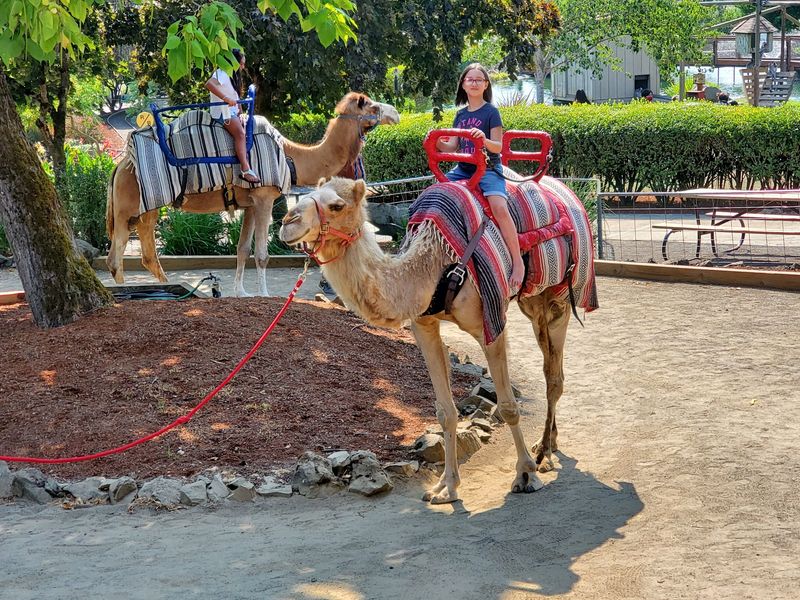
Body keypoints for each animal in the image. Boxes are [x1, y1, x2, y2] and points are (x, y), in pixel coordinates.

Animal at [106, 93, 400, 296]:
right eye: (371, 106)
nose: (396, 113)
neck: (291, 157)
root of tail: (121, 165)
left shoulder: (248, 203)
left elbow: (242, 249)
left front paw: (242, 292)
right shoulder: (264, 198)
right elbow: (261, 254)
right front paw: (265, 294)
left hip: (147, 210)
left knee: (145, 254)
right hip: (127, 206)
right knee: (116, 256)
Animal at [280, 176, 587, 504]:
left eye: (336, 206)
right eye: (308, 195)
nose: (287, 222)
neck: (433, 262)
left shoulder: (491, 322)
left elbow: (507, 405)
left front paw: (525, 475)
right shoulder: (423, 325)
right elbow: (445, 411)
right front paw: (446, 487)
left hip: (559, 294)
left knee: (554, 375)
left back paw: (543, 454)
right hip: (533, 302)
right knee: (549, 365)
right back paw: (548, 445)